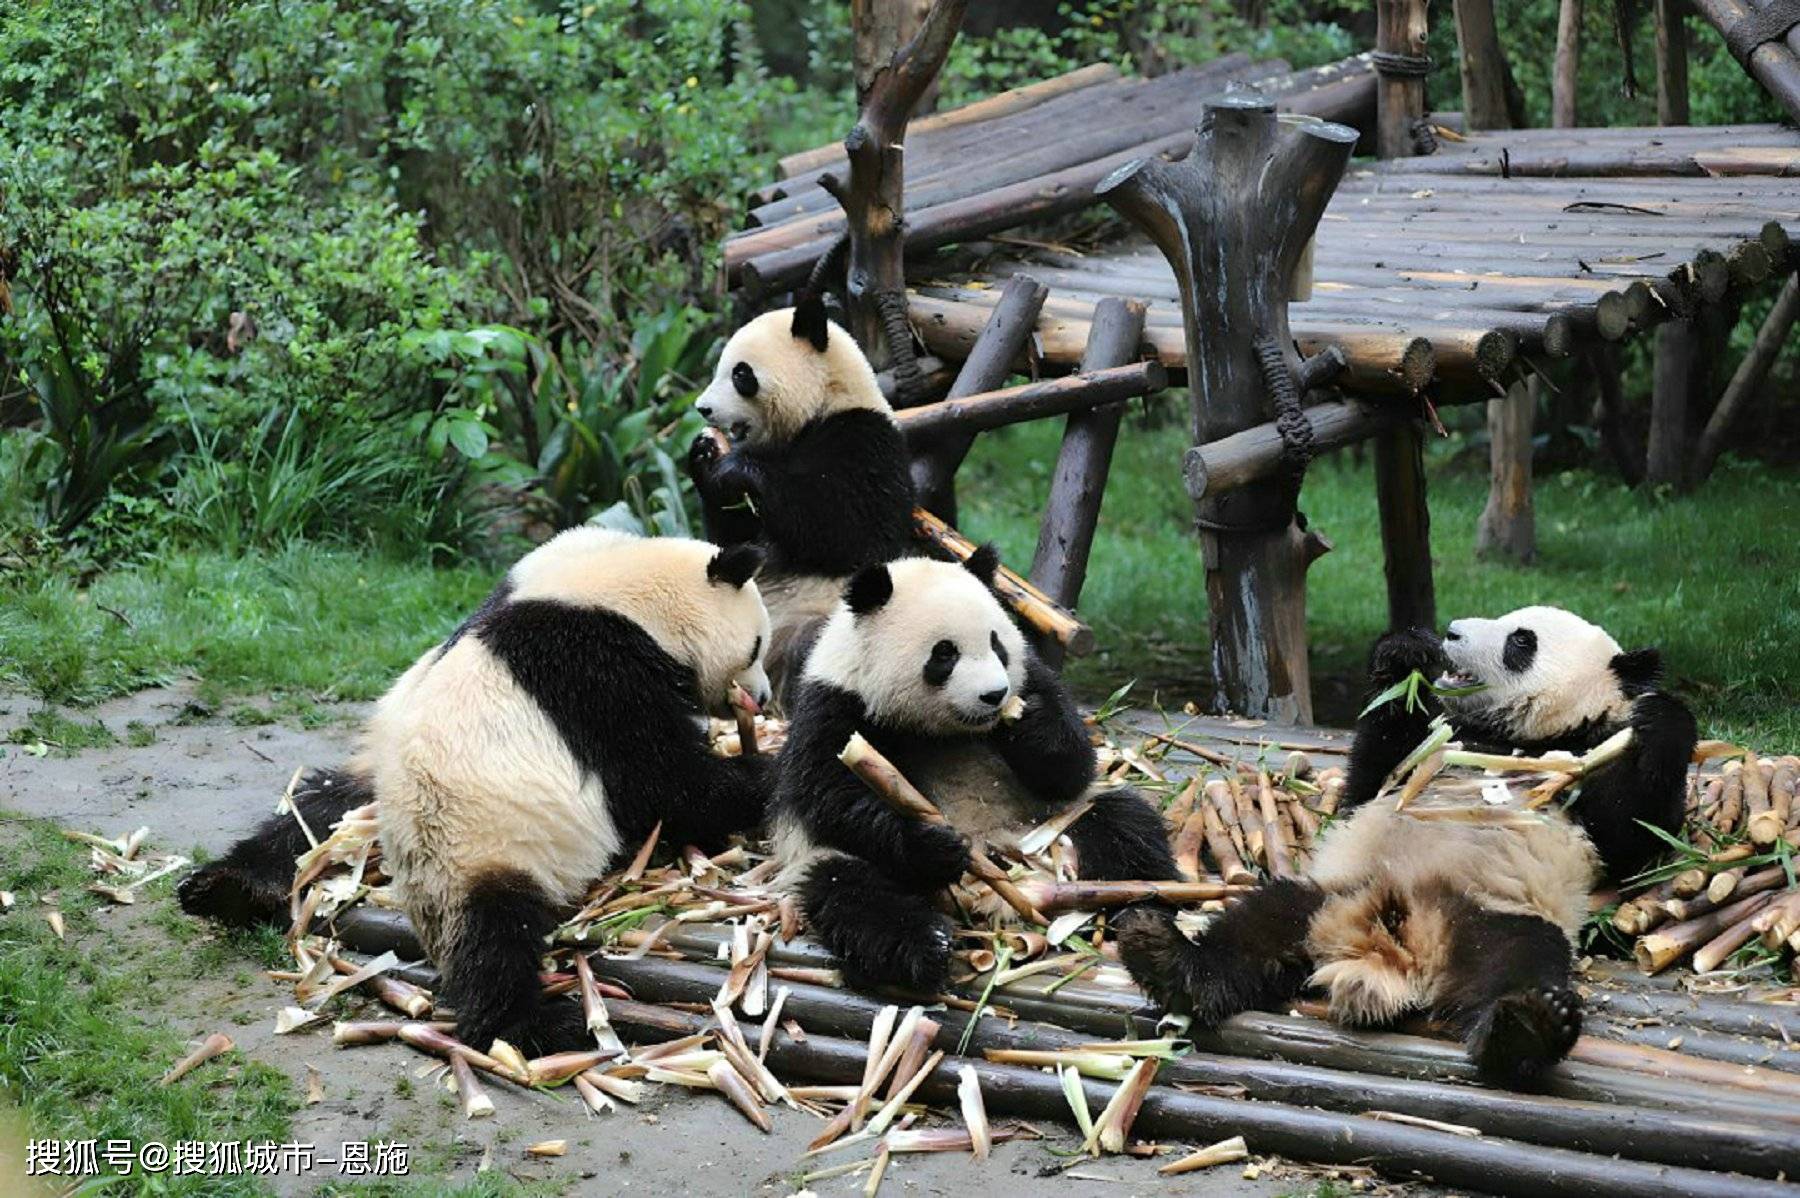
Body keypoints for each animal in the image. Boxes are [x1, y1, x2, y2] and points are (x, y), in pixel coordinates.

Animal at [175, 528, 781, 1050]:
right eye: (756, 648)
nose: (764, 698)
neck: (622, 592)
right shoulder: (592, 671)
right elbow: (667, 781)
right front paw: (768, 771)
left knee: (307, 818)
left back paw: (224, 887)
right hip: (477, 842)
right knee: (491, 938)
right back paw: (541, 1024)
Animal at [684, 293, 921, 694]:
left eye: (741, 374)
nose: (703, 408)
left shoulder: (867, 443)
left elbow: (851, 530)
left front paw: (737, 469)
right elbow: (735, 543)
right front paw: (704, 456)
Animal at [774, 546, 1180, 985]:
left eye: (997, 643)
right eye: (945, 653)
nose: (995, 694)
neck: (946, 730)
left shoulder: (1033, 677)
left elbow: (1072, 768)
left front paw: (1030, 722)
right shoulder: (835, 705)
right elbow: (831, 796)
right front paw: (934, 843)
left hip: (1052, 825)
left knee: (1123, 826)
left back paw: (1149, 917)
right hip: (836, 862)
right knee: (855, 891)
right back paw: (926, 945)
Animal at [1116, 607, 1692, 1079]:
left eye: (1521, 641)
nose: (1452, 631)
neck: (1517, 738)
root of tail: (1399, 948)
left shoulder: (1587, 757)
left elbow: (1632, 840)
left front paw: (1664, 718)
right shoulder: (1429, 749)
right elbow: (1370, 776)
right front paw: (1405, 655)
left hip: (1498, 918)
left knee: (1515, 963)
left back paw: (1527, 1027)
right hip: (1333, 891)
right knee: (1261, 922)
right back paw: (1165, 956)